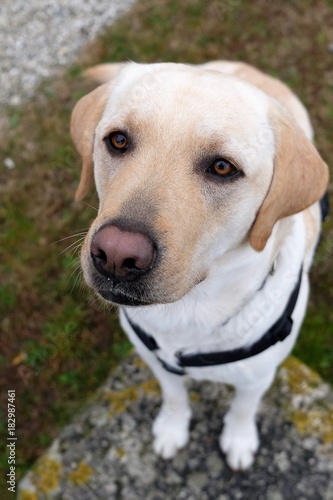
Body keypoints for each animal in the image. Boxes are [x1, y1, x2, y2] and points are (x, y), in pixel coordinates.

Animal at [69, 61, 326, 468]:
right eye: (118, 141)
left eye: (222, 167)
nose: (116, 256)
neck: (189, 310)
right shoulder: (155, 361)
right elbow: (175, 396)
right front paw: (172, 428)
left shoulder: (258, 378)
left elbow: (242, 408)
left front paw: (239, 440)